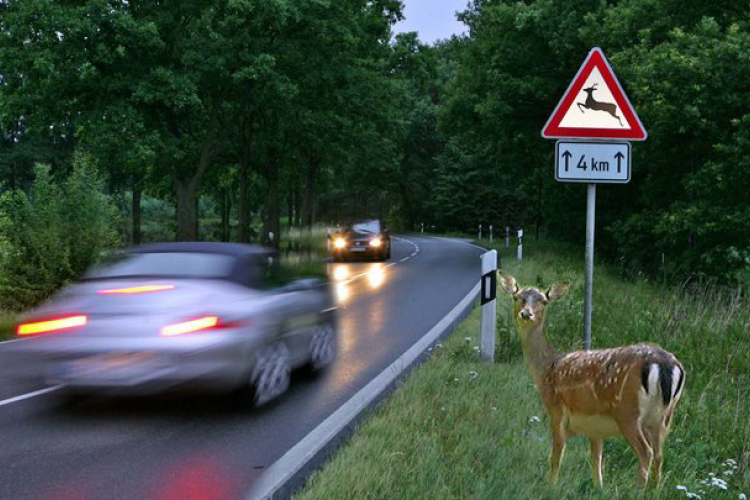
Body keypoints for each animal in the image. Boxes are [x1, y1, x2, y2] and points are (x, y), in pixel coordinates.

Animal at [500, 274, 688, 488]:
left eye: (543, 301)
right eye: (518, 297)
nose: (526, 314)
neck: (547, 368)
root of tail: (665, 364)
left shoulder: (556, 409)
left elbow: (556, 455)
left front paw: (551, 486)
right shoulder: (595, 427)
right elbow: (596, 459)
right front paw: (599, 487)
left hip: (628, 412)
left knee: (645, 452)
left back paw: (638, 490)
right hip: (664, 417)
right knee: (659, 455)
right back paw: (655, 490)